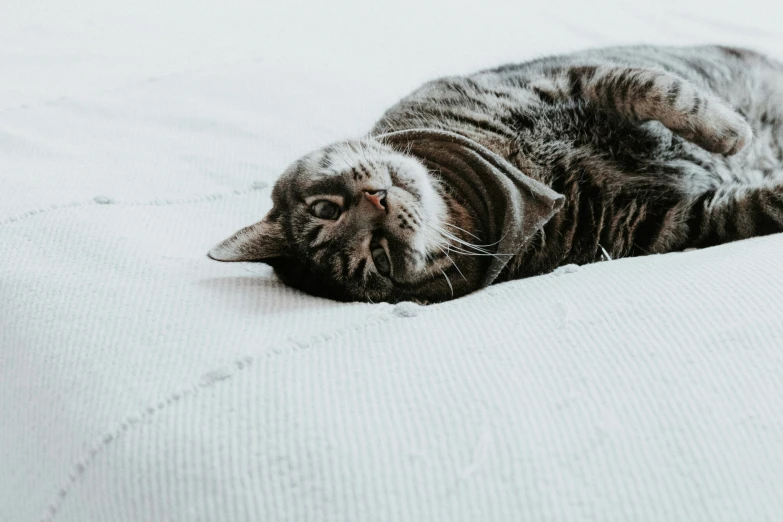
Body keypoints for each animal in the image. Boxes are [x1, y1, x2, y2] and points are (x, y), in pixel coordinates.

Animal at [208, 47, 783, 304]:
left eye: (324, 208)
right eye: (379, 258)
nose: (377, 200)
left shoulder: (566, 78)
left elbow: (658, 88)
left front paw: (730, 131)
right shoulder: (666, 224)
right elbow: (754, 208)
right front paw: (744, 148)